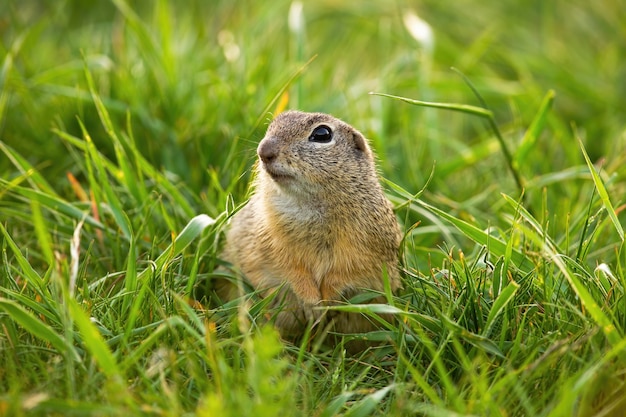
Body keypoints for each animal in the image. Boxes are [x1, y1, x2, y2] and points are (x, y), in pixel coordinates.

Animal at [217, 110, 402, 344]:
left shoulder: (365, 249)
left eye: (322, 134)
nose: (263, 151)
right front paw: (312, 303)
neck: (310, 206)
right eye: (273, 125)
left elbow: (346, 273)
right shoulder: (268, 240)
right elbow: (290, 271)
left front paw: (328, 302)